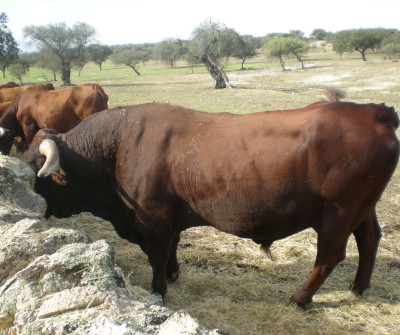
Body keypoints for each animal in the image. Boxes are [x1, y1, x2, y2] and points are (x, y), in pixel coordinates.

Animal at [23, 90, 398, 308]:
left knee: (330, 256)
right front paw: (173, 273)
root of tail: (373, 111)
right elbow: (172, 247)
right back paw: (358, 287)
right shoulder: (168, 217)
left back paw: (301, 298)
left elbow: (157, 255)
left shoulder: (151, 217)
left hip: (339, 213)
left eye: (31, 166)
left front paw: (158, 291)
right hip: (363, 209)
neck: (118, 144)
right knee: (369, 239)